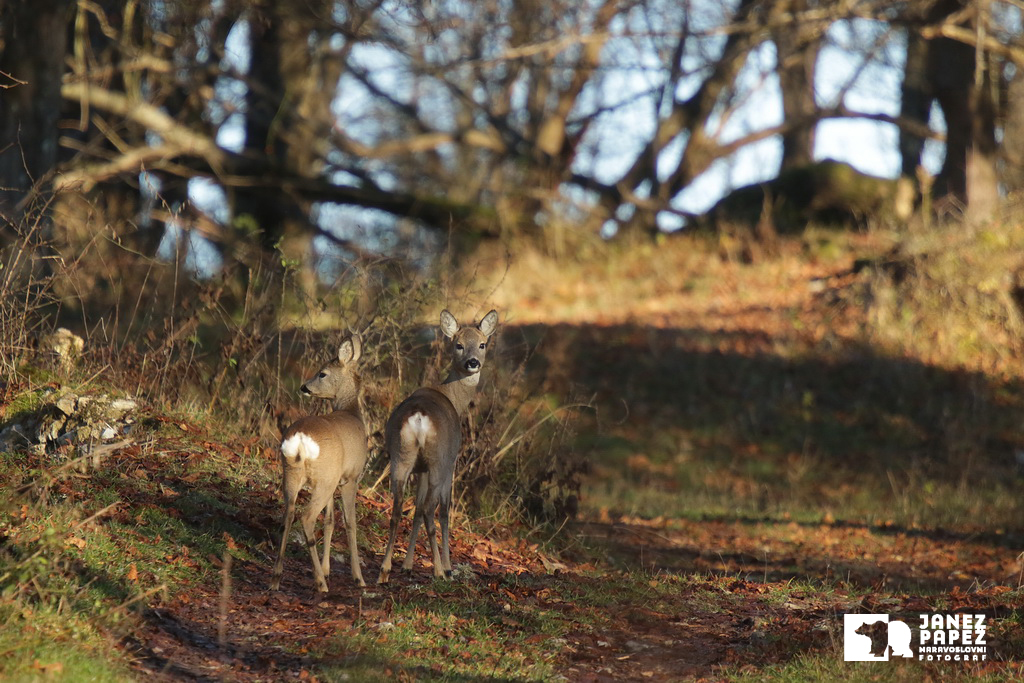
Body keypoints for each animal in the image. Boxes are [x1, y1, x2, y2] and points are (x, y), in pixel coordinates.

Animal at [272, 333, 368, 589]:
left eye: (322, 373)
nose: (304, 387)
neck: (352, 412)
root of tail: (300, 438)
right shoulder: (350, 478)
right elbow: (349, 522)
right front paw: (358, 578)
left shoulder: (335, 479)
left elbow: (330, 521)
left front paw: (326, 569)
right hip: (323, 479)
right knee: (306, 518)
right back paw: (320, 583)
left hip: (293, 473)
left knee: (288, 515)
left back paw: (276, 578)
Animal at [380, 309, 499, 581]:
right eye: (458, 345)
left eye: (482, 344)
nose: (472, 362)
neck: (453, 398)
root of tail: (419, 418)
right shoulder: (450, 461)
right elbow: (443, 512)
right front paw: (447, 566)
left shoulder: (420, 468)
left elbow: (414, 511)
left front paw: (407, 564)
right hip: (438, 459)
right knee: (431, 510)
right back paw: (438, 570)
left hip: (401, 457)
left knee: (398, 509)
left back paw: (385, 569)